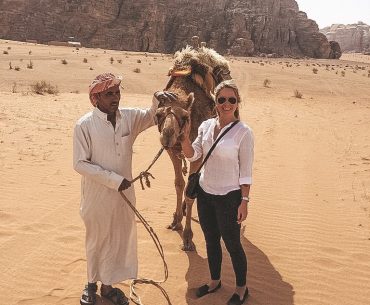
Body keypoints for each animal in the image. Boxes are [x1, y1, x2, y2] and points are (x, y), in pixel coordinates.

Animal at [155, 40, 231, 249]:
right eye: (158, 115)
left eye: (185, 116)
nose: (167, 137)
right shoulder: (173, 152)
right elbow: (179, 184)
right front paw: (176, 220)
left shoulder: (197, 152)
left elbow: (190, 191)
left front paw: (188, 237)